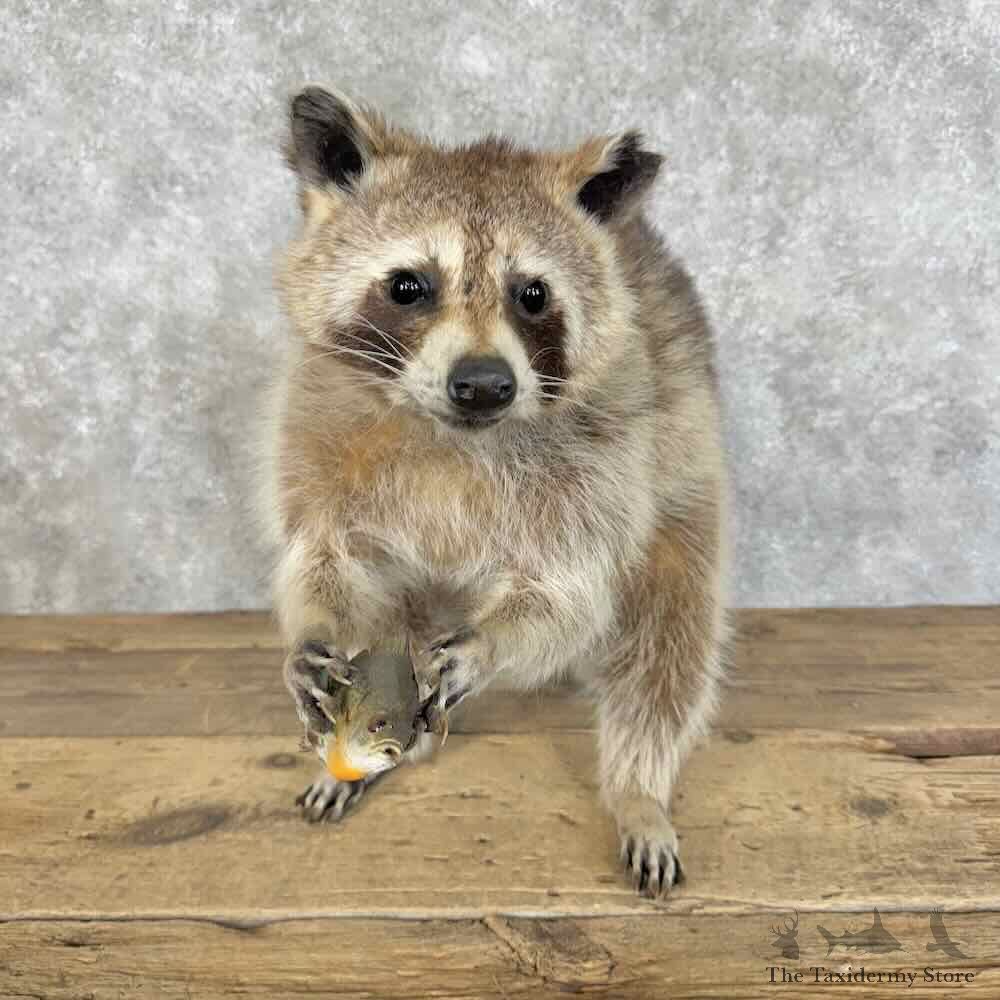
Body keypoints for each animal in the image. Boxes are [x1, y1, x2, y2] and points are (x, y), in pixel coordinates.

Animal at [262, 86, 730, 897]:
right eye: (409, 285)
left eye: (532, 295)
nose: (484, 383)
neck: (452, 432)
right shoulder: (314, 425)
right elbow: (325, 558)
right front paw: (312, 634)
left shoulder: (605, 464)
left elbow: (570, 600)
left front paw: (488, 646)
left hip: (683, 465)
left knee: (670, 640)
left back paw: (638, 786)